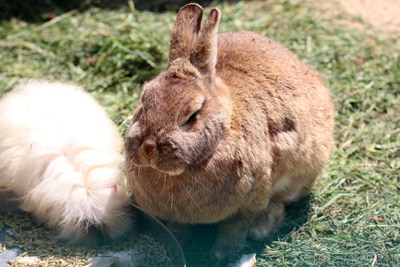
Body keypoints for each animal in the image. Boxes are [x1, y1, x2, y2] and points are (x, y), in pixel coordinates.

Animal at [126, 2, 334, 260]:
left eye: (193, 115)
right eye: (144, 100)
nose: (148, 149)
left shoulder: (252, 197)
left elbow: (235, 227)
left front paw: (223, 253)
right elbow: (178, 228)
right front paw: (179, 243)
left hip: (305, 169)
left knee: (280, 201)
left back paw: (263, 227)